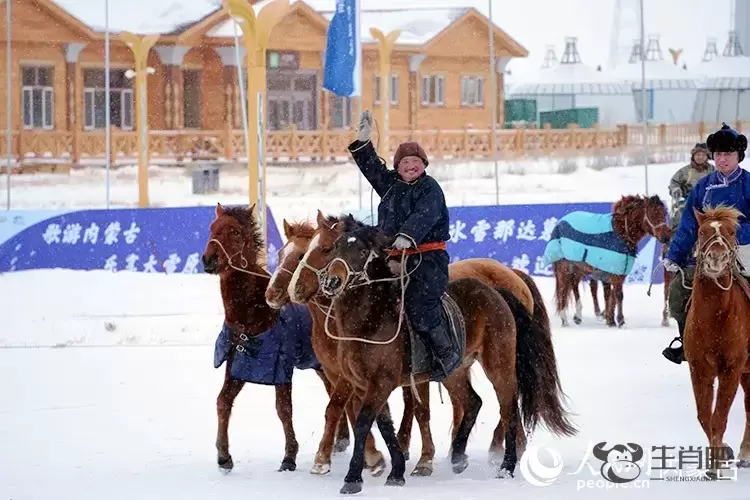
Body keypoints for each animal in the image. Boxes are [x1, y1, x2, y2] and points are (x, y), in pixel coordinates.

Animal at [201, 202, 352, 472]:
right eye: (212, 227)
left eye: (235, 232)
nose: (209, 259)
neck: (255, 312)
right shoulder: (239, 362)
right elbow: (223, 401)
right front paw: (224, 455)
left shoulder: (280, 364)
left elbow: (283, 409)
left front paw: (289, 456)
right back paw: (341, 439)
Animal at [282, 209, 564, 474]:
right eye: (334, 248)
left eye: (324, 249)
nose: (331, 282)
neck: (371, 316)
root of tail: (499, 289)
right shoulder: (351, 376)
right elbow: (352, 410)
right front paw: (355, 459)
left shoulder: (386, 378)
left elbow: (412, 411)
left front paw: (412, 459)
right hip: (456, 371)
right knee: (472, 401)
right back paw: (459, 455)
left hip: (499, 364)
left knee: (508, 405)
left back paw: (505, 459)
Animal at [544, 193, 672, 326]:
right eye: (653, 213)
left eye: (664, 213)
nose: (666, 237)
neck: (621, 233)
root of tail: (560, 222)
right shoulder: (613, 272)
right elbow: (617, 295)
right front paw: (618, 320)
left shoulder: (619, 272)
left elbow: (613, 295)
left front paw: (610, 319)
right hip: (564, 267)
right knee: (563, 290)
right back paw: (565, 319)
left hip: (579, 267)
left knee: (574, 285)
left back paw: (578, 316)